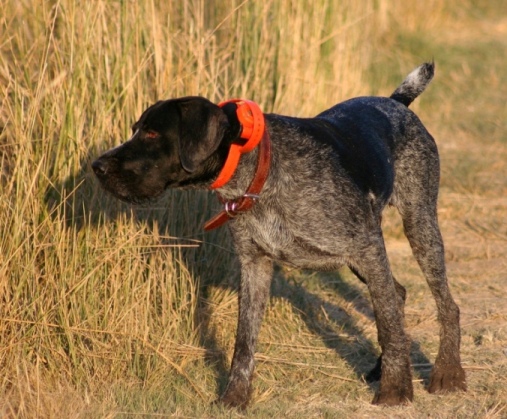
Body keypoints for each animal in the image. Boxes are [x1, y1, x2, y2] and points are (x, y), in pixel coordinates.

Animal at [93, 64, 466, 408]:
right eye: (136, 130)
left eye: (152, 134)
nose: (97, 166)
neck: (259, 171)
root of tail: (396, 102)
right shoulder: (255, 264)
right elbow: (243, 341)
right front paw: (235, 397)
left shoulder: (367, 247)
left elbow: (389, 324)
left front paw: (396, 392)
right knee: (396, 293)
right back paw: (383, 367)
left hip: (417, 225)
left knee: (444, 304)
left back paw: (447, 373)